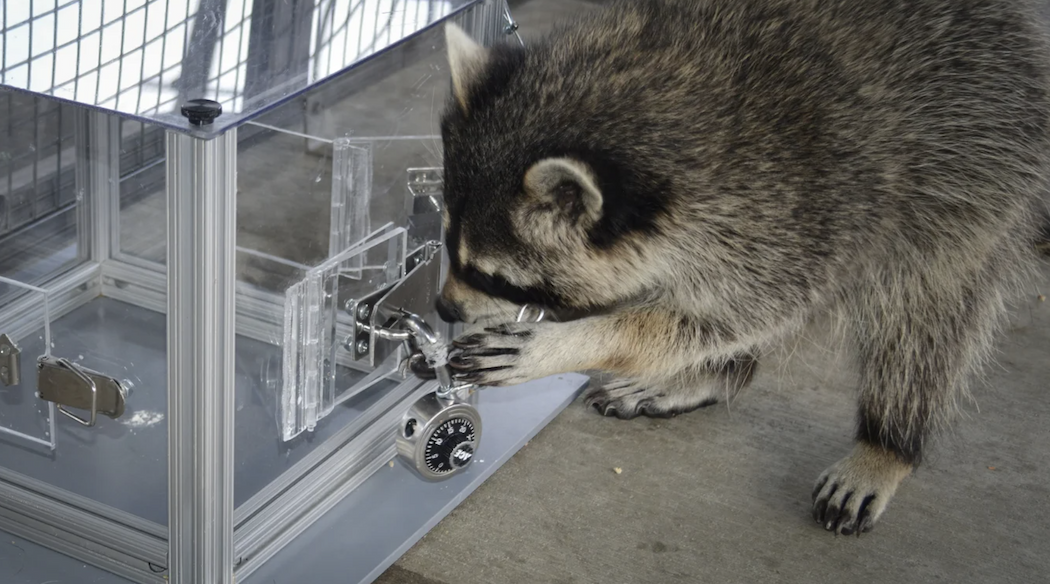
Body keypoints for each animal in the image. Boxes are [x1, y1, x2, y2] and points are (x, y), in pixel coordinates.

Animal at [433, 0, 1050, 537]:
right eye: (447, 246)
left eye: (489, 275)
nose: (443, 306)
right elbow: (707, 315)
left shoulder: (797, 217)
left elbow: (724, 317)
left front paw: (574, 341)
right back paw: (718, 373)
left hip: (976, 172)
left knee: (924, 317)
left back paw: (886, 443)